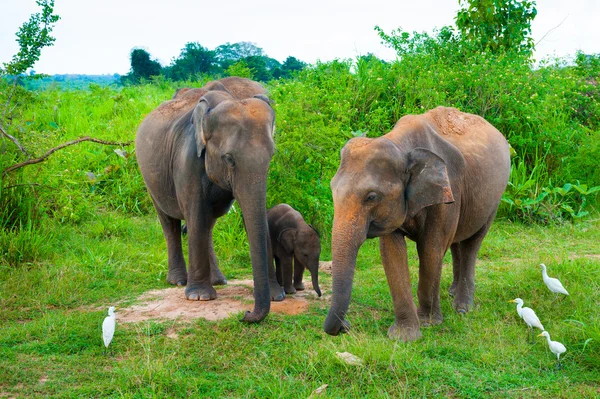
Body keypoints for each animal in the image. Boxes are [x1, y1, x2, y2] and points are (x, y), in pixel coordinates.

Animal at [135, 76, 284, 324]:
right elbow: (195, 214)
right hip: (150, 178)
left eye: (272, 155)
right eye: (229, 159)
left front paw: (278, 296)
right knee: (170, 221)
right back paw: (179, 281)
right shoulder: (187, 160)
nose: (245, 314)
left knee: (208, 223)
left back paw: (218, 280)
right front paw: (199, 297)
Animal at [324, 106, 510, 340]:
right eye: (332, 188)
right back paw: (451, 292)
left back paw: (462, 308)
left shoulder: (447, 189)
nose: (345, 326)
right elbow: (392, 253)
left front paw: (428, 323)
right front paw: (404, 336)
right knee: (457, 242)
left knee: (472, 242)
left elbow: (430, 249)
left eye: (371, 197)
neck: (399, 144)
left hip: (494, 197)